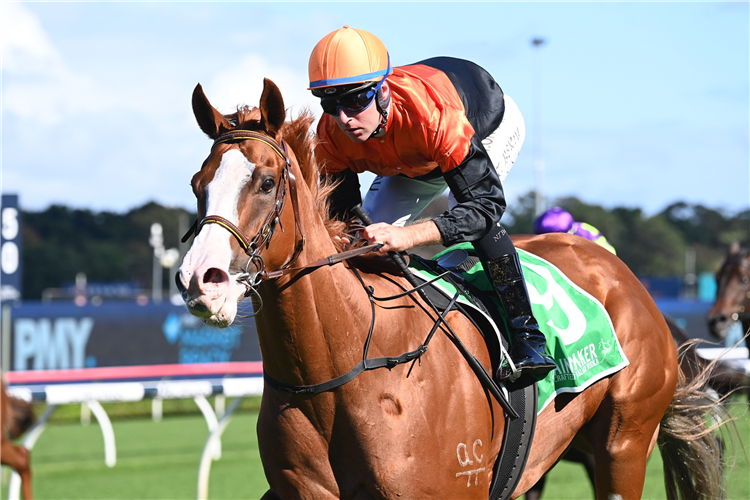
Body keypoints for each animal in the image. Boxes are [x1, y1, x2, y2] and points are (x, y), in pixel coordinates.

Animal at [175, 80, 728, 498]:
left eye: (267, 182)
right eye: (197, 183)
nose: (200, 281)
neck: (340, 371)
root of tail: (617, 268)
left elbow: (483, 204)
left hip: (625, 443)